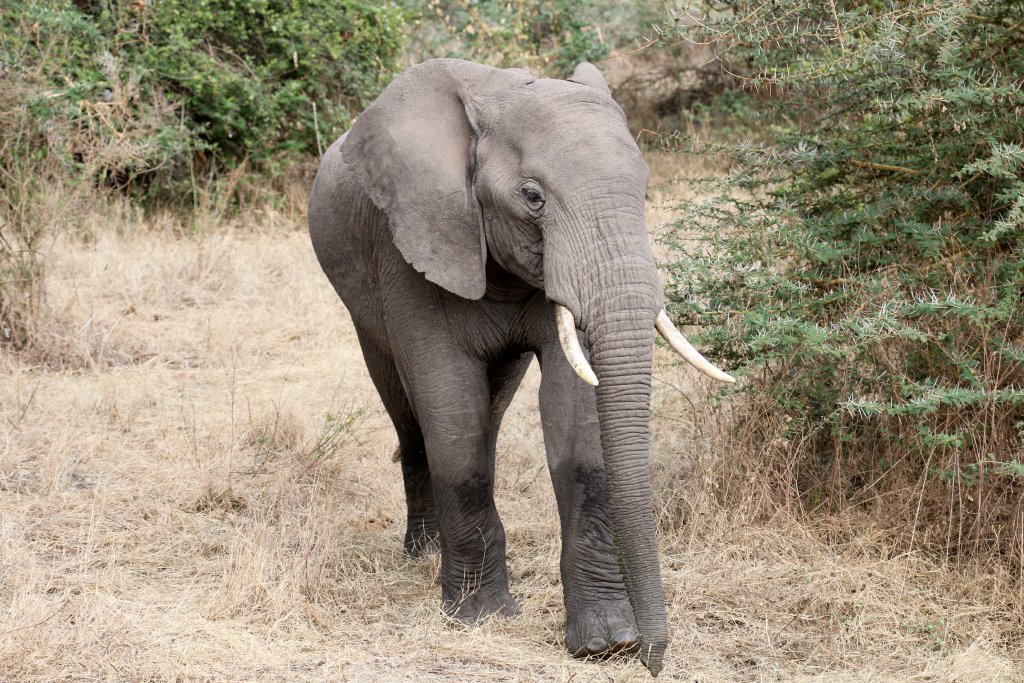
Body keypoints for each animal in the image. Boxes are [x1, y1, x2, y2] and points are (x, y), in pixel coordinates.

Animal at [307, 58, 733, 677]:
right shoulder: (416, 243)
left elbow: (577, 423)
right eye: (533, 197)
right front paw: (479, 619)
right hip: (360, 296)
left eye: (646, 190)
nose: (654, 661)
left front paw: (607, 643)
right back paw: (424, 552)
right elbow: (450, 411)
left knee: (493, 406)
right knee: (411, 415)